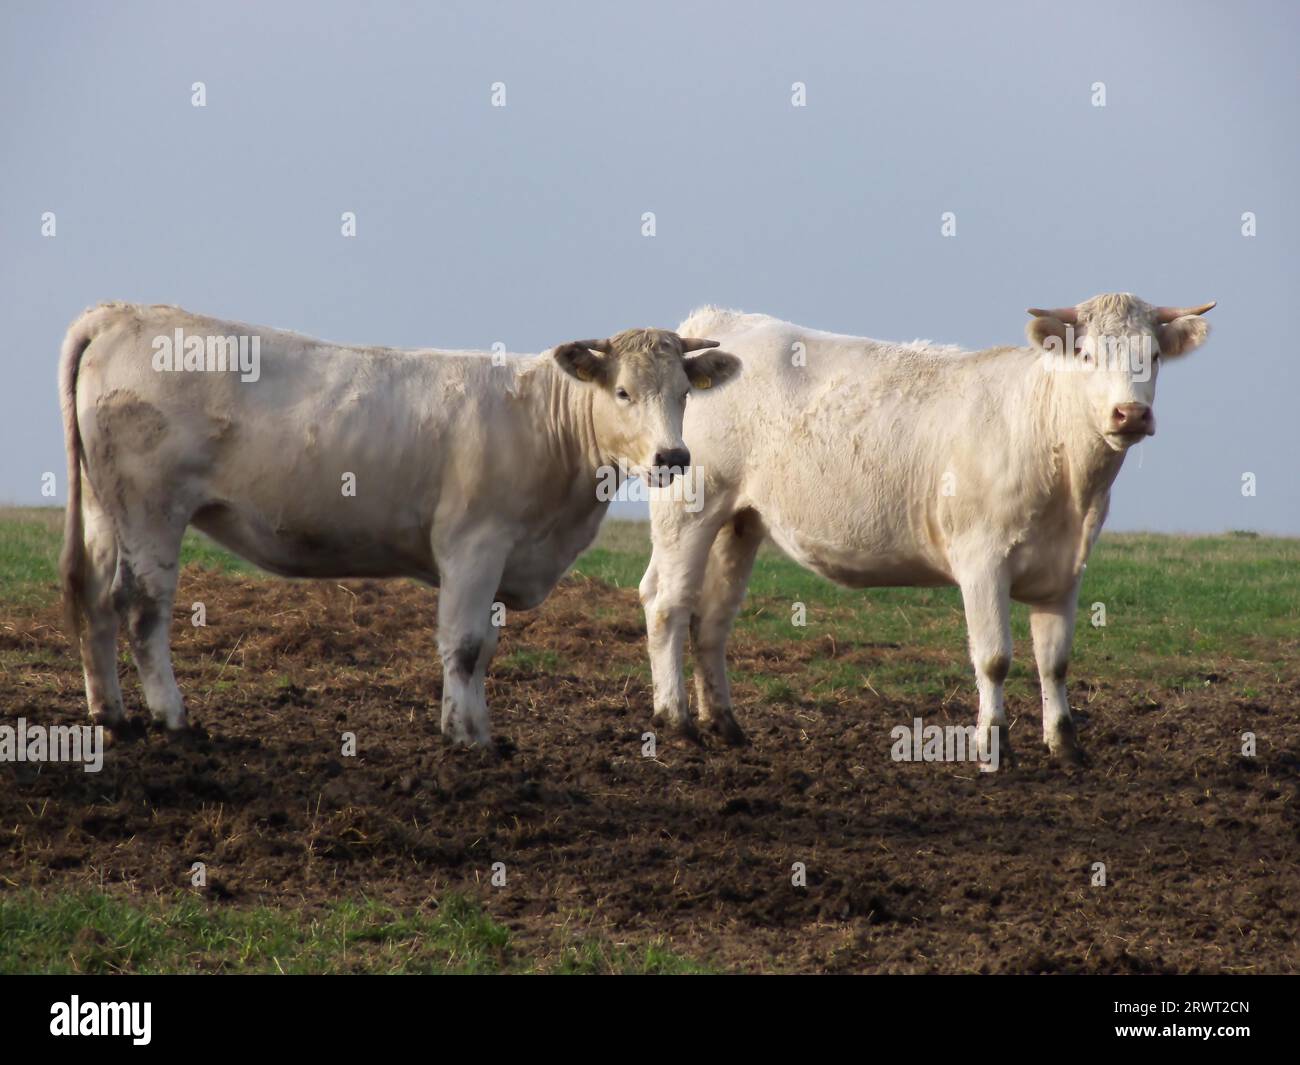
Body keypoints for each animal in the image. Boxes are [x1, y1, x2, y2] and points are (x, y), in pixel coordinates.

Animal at [61, 304, 743, 743]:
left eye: (684, 393)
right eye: (624, 392)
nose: (673, 457)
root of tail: (121, 314)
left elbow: (484, 646)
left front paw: (474, 727)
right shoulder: (474, 545)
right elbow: (463, 644)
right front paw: (466, 737)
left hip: (103, 507)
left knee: (92, 597)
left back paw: (110, 716)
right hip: (152, 509)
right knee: (142, 605)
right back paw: (172, 719)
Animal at [644, 295, 1211, 764]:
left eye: (1153, 356)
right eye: (1088, 356)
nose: (1130, 414)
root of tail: (721, 322)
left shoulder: (1066, 571)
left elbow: (1055, 662)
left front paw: (1066, 747)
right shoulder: (982, 561)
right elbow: (995, 659)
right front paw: (992, 747)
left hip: (738, 522)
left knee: (711, 620)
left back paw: (725, 725)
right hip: (688, 509)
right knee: (666, 605)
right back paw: (676, 722)